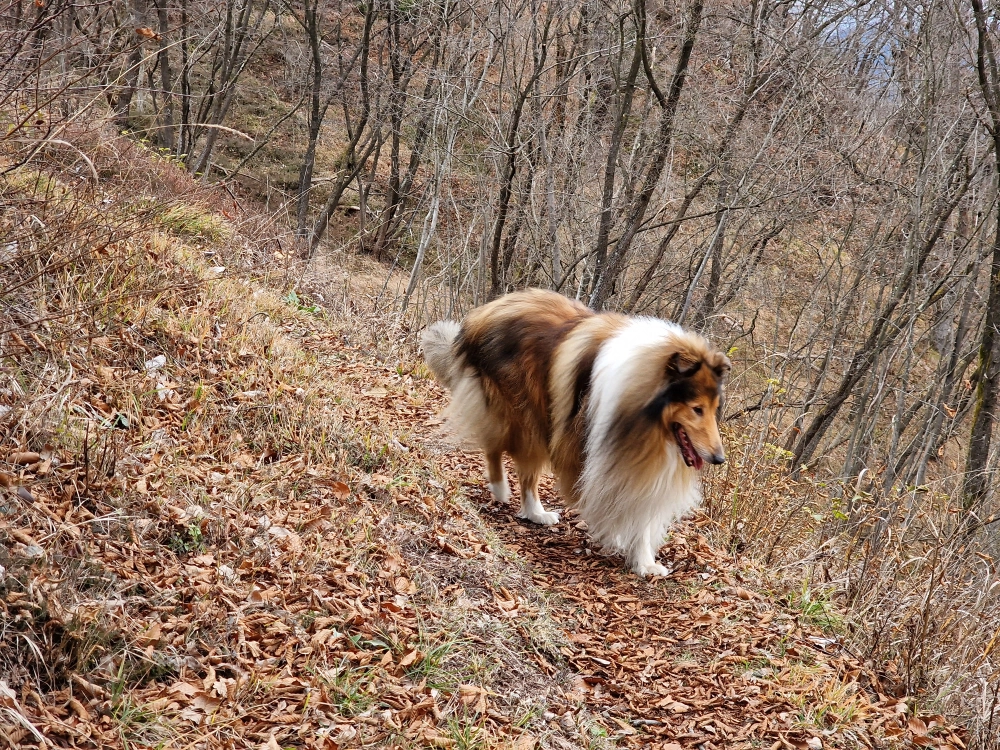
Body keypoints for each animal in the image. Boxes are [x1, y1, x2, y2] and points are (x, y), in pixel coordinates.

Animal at [418, 290, 732, 580]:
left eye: (714, 408)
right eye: (696, 409)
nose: (719, 459)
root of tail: (484, 312)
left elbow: (643, 511)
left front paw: (644, 562)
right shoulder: (599, 450)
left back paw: (531, 510)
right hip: (524, 415)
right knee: (498, 448)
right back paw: (506, 492)